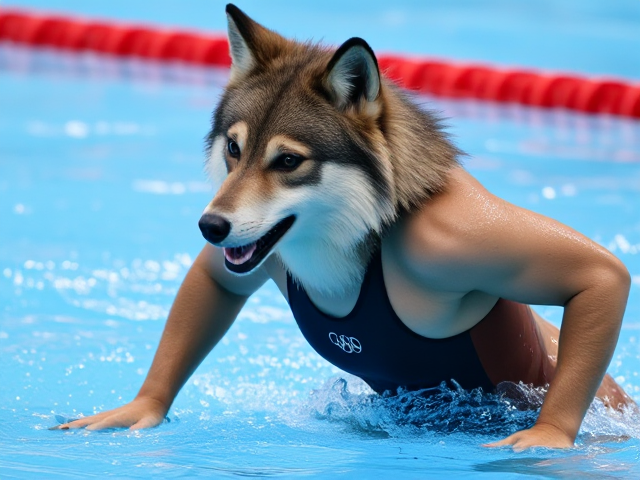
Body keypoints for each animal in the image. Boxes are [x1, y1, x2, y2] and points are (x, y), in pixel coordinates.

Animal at [58, 4, 632, 450]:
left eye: (288, 161)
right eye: (234, 148)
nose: (210, 226)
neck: (359, 230)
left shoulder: (451, 236)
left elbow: (603, 274)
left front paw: (547, 439)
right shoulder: (242, 259)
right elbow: (214, 278)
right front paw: (142, 405)